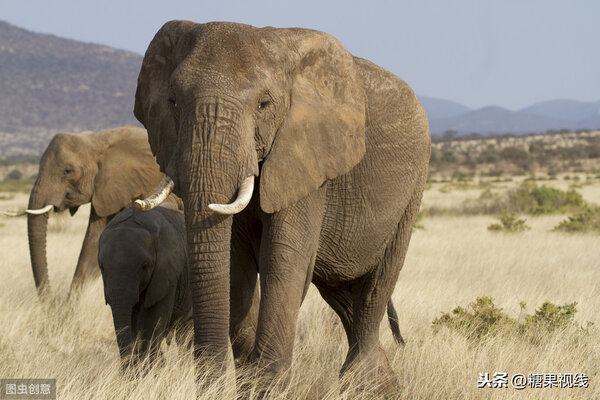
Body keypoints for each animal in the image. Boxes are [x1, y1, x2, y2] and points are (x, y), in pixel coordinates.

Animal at [134, 20, 428, 392]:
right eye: (172, 101)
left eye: (263, 104)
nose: (209, 382)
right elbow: (235, 265)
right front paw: (249, 377)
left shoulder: (307, 156)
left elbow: (283, 257)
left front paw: (266, 385)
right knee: (340, 291)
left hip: (413, 188)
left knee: (376, 285)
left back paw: (365, 383)